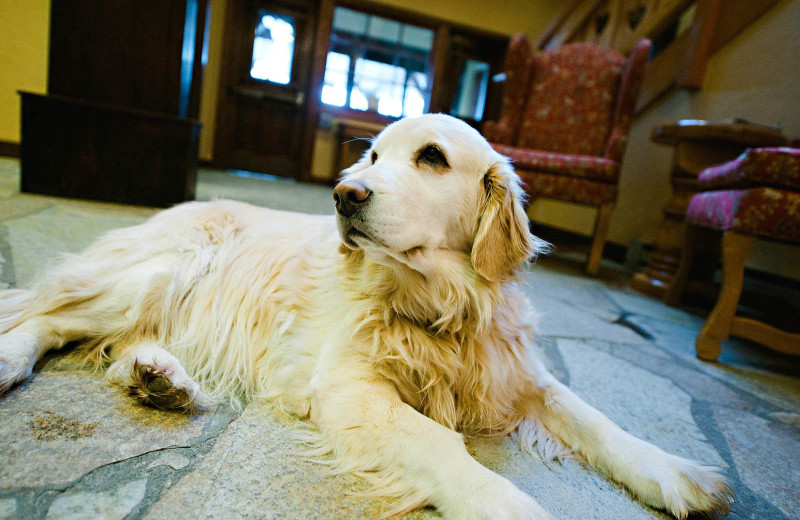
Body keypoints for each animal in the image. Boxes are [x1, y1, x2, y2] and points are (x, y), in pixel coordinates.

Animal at [0, 117, 732, 520]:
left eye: (432, 157)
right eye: (373, 156)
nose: (343, 194)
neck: (439, 306)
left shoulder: (516, 373)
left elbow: (597, 420)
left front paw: (677, 473)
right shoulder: (350, 388)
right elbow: (442, 445)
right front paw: (503, 501)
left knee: (120, 341)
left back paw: (161, 378)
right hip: (158, 271)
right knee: (43, 317)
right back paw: (14, 360)